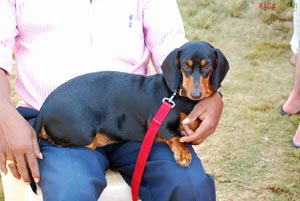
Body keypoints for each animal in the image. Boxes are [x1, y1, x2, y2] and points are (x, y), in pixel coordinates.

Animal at [30, 40, 229, 192]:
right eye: (185, 67)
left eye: (207, 66)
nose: (196, 94)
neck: (179, 96)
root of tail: (44, 108)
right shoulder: (162, 124)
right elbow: (176, 136)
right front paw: (183, 154)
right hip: (83, 134)